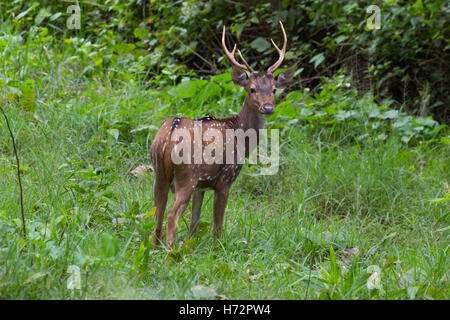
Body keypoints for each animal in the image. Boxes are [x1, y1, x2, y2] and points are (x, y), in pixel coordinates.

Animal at [149, 21, 294, 250]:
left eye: (273, 90)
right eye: (252, 89)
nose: (268, 107)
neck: (240, 136)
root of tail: (169, 133)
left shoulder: (201, 186)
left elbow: (194, 223)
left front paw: (191, 248)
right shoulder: (225, 179)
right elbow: (217, 226)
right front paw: (217, 252)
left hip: (160, 173)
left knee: (158, 216)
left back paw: (156, 250)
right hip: (186, 175)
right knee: (172, 217)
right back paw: (170, 253)